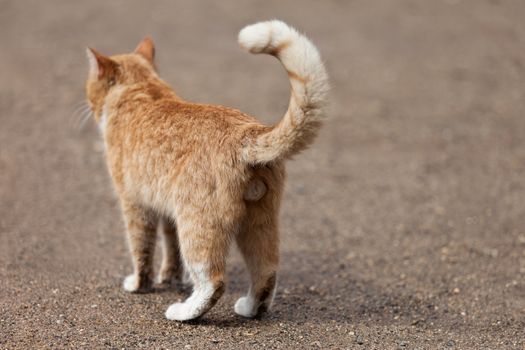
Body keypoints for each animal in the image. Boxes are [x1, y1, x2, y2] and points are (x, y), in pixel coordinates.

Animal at [85, 18, 328, 320]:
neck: (143, 92)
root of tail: (246, 133)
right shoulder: (166, 212)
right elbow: (171, 252)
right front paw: (169, 279)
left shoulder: (136, 206)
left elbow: (141, 250)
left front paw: (140, 285)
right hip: (258, 223)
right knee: (266, 271)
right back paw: (250, 308)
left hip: (197, 223)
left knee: (213, 281)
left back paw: (184, 312)